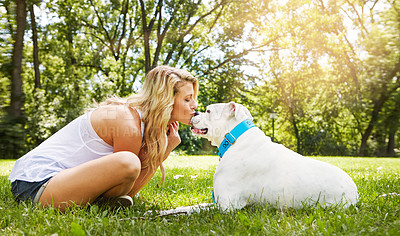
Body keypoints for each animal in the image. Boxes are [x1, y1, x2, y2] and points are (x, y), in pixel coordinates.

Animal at [189, 101, 358, 210]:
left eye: (208, 111)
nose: (194, 111)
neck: (235, 139)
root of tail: (355, 192)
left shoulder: (225, 205)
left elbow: (193, 209)